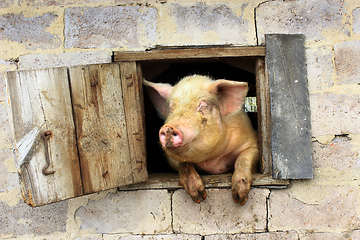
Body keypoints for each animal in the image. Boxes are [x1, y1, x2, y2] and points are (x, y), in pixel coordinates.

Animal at [145, 74, 260, 204]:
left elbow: (243, 158)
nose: (168, 127)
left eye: (203, 105)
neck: (213, 163)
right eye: (171, 108)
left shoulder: (252, 142)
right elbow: (184, 164)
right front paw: (199, 197)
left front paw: (239, 198)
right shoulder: (169, 158)